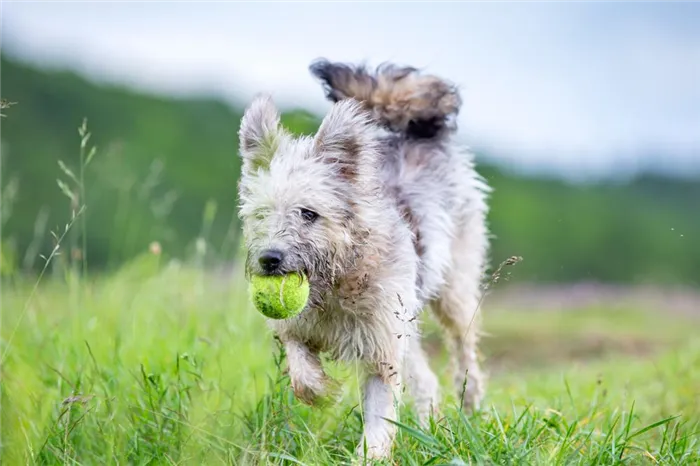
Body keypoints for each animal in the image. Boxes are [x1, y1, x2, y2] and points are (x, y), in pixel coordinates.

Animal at [238, 57, 490, 458]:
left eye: (308, 213)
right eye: (262, 215)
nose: (269, 259)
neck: (336, 282)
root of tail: (410, 134)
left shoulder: (381, 353)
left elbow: (378, 417)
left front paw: (370, 457)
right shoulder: (297, 328)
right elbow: (300, 366)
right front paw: (322, 392)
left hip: (455, 295)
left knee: (465, 351)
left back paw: (471, 408)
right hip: (407, 324)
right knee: (427, 379)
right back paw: (428, 429)